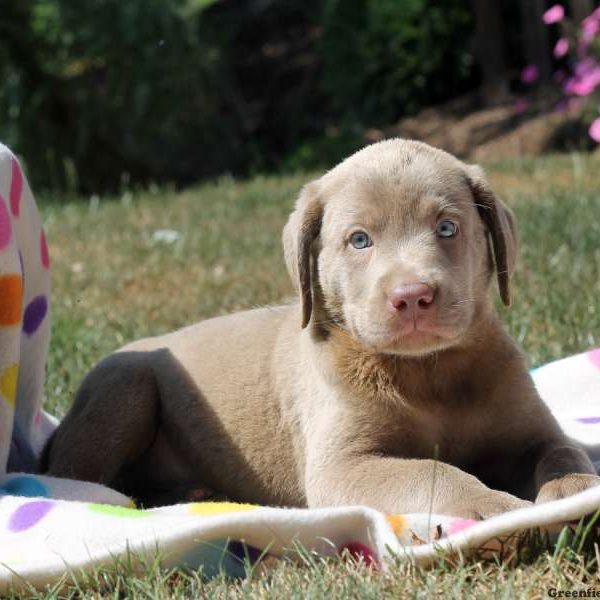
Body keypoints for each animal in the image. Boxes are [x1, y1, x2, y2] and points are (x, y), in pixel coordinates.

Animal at [43, 139, 600, 516]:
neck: (428, 373)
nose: (412, 296)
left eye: (447, 228)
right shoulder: (344, 465)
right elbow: (433, 470)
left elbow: (563, 451)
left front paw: (575, 492)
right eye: (359, 240)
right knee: (77, 478)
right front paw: (493, 506)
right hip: (125, 385)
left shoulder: (530, 429)